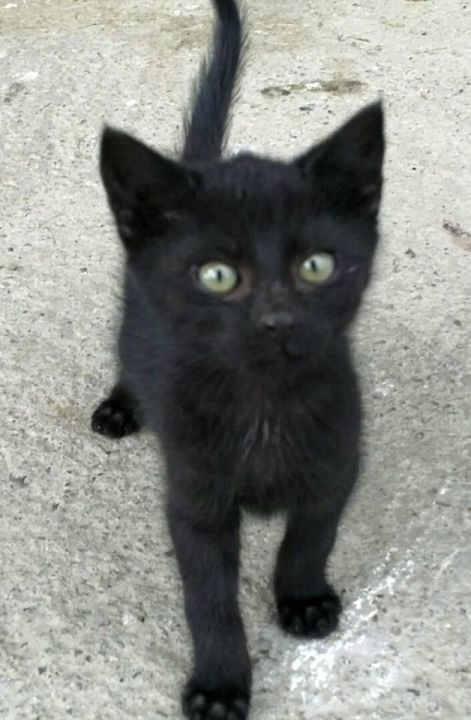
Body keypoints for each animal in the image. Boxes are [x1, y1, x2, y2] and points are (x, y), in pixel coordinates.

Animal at [91, 2, 384, 716]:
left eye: (316, 265)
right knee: (128, 352)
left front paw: (303, 600)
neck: (265, 408)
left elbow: (310, 537)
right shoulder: (193, 498)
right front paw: (221, 683)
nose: (276, 320)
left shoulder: (340, 459)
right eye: (218, 275)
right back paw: (120, 405)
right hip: (137, 323)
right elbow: (209, 597)